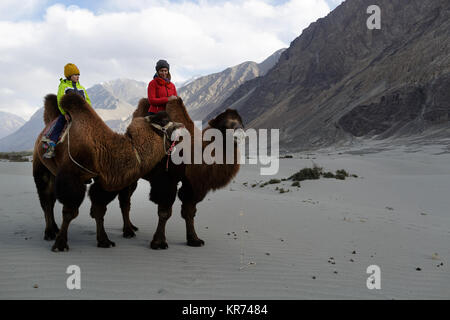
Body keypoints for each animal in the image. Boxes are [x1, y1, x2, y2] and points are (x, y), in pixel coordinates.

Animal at [33, 93, 183, 252]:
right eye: (164, 120)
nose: (180, 125)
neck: (100, 150)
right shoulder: (71, 177)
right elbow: (70, 212)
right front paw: (60, 244)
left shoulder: (103, 180)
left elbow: (99, 209)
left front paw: (104, 241)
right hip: (41, 167)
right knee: (46, 200)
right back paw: (49, 233)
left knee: (50, 200)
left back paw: (54, 229)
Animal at [89, 97, 244, 248]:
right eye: (224, 125)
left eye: (241, 122)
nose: (240, 134)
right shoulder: (166, 180)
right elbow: (165, 212)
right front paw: (159, 242)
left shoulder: (191, 184)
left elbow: (189, 211)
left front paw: (194, 239)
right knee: (103, 199)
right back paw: (107, 239)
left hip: (132, 177)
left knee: (125, 200)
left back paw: (129, 229)